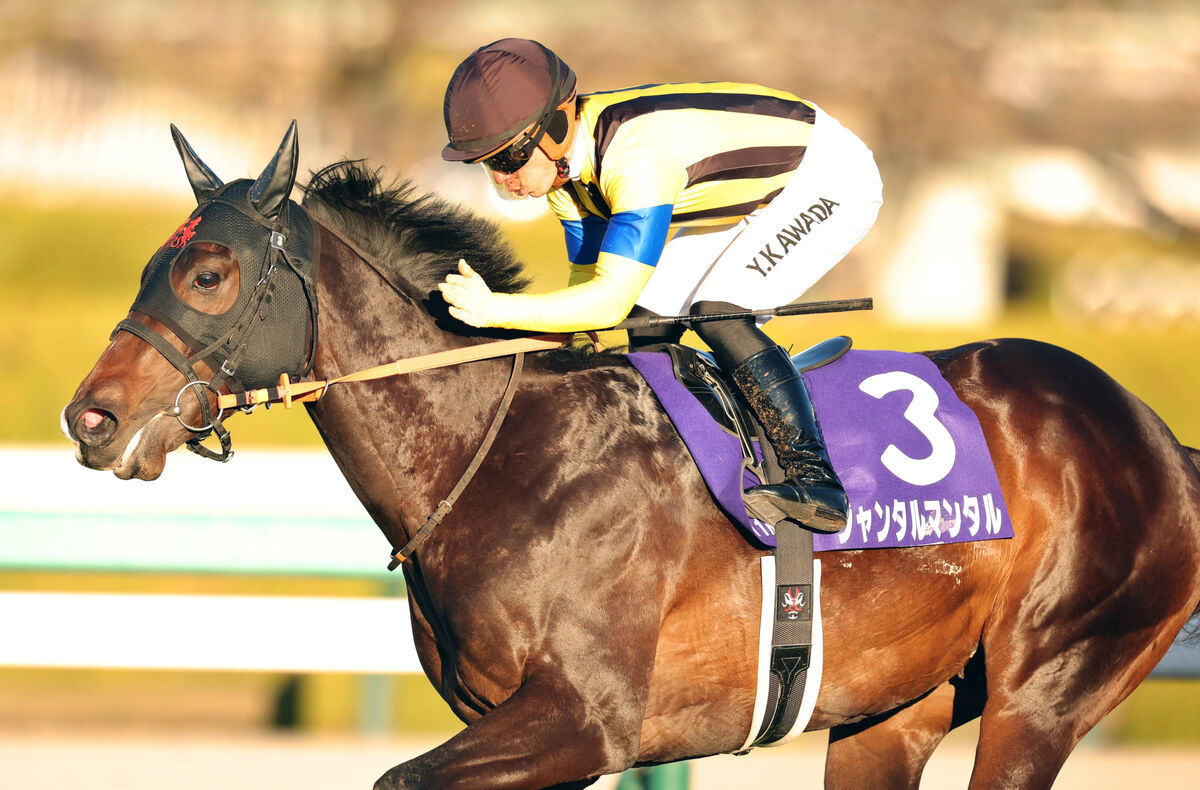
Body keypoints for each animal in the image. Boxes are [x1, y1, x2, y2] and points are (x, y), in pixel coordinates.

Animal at [63, 124, 1200, 790]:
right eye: (153, 265)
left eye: (209, 273)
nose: (91, 419)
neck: (499, 455)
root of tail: (1153, 433)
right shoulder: (523, 729)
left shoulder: (584, 719)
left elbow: (396, 779)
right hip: (891, 711)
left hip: (1044, 688)